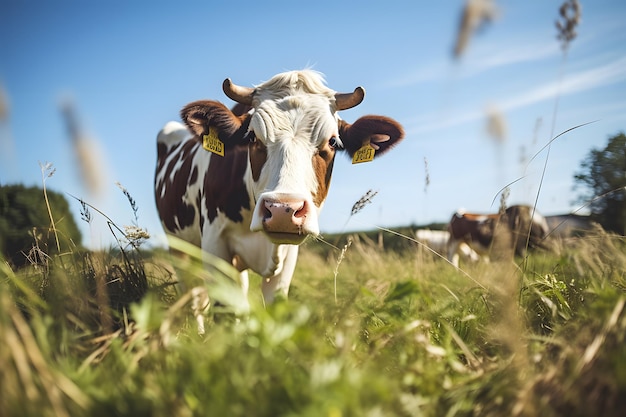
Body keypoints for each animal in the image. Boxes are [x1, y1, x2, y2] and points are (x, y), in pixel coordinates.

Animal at [156, 69, 404, 328]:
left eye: (333, 141)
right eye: (252, 138)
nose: (282, 210)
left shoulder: (287, 256)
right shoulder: (215, 244)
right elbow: (225, 311)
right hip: (179, 246)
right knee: (193, 296)